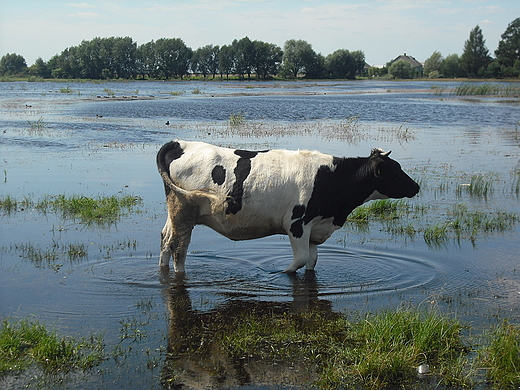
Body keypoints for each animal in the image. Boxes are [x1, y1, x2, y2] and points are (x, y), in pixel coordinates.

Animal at [155, 142, 418, 272]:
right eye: (395, 172)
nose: (416, 187)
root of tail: (180, 143)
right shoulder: (296, 224)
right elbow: (299, 261)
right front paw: (278, 273)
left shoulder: (315, 228)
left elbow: (312, 261)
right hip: (184, 212)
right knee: (179, 248)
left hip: (173, 212)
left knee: (166, 239)